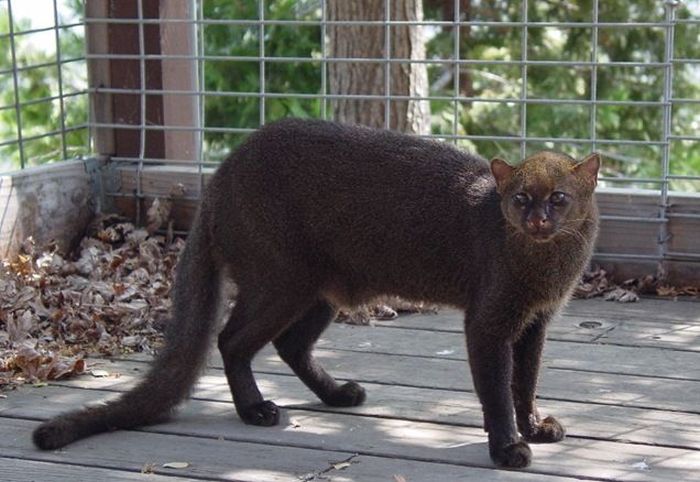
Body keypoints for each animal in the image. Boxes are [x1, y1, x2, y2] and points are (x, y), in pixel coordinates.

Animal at [32, 118, 600, 468]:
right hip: (281, 280)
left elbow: (525, 382)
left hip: (320, 290)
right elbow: (496, 391)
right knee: (232, 340)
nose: (538, 219)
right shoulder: (488, 321)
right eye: (520, 198)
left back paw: (337, 394)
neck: (546, 268)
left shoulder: (535, 322)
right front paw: (507, 448)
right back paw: (256, 411)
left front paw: (534, 427)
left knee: (289, 345)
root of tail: (220, 178)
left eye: (559, 198)